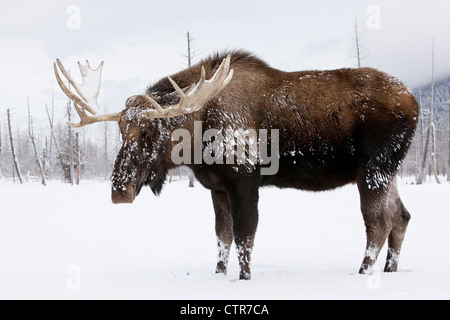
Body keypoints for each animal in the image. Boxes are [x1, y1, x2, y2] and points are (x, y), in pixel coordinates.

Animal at [55, 50, 418, 280]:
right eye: (120, 129)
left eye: (149, 131)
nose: (120, 190)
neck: (199, 137)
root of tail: (414, 103)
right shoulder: (217, 187)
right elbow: (223, 236)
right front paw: (218, 274)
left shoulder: (245, 181)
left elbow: (245, 236)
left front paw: (243, 279)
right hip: (389, 171)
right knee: (401, 216)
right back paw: (390, 270)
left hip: (373, 170)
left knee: (378, 223)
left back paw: (363, 273)